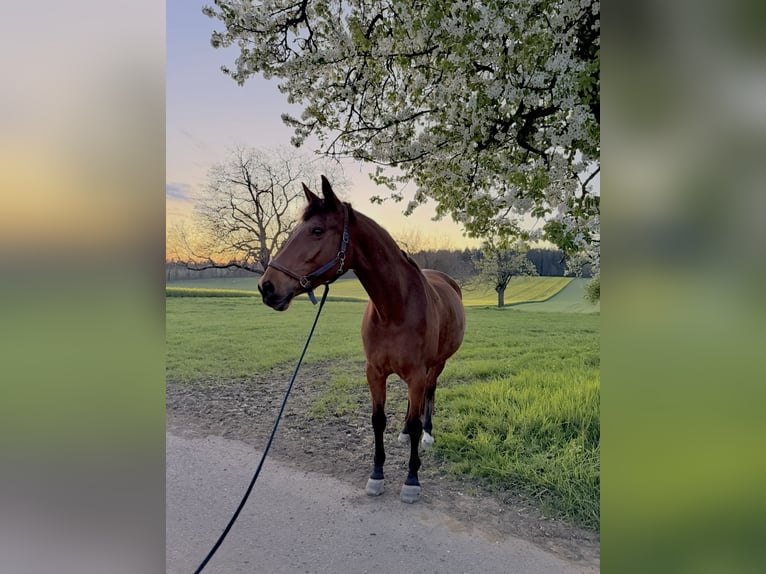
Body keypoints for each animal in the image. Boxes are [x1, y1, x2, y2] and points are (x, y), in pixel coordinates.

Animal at [258, 176, 466, 503]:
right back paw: (403, 434)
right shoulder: (375, 372)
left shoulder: (417, 373)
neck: (395, 308)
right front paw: (377, 475)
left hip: (436, 365)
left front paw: (412, 480)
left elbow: (416, 421)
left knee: (429, 396)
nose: (267, 287)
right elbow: (378, 420)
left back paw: (428, 435)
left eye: (317, 230)